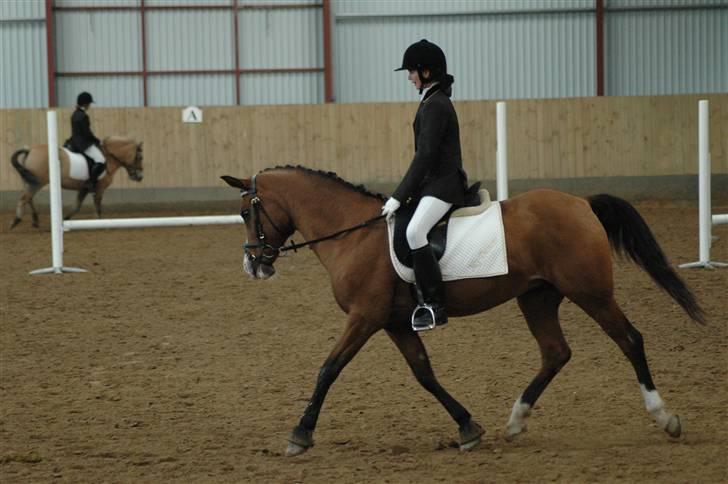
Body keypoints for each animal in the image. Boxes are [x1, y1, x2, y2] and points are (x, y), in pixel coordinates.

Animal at [9, 136, 144, 228]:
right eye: (140, 157)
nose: (140, 177)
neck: (108, 159)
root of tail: (29, 150)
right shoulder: (99, 189)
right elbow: (98, 206)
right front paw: (100, 222)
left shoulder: (84, 189)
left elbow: (76, 207)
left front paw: (65, 219)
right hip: (38, 182)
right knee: (25, 198)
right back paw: (16, 220)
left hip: (30, 181)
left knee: (28, 198)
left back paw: (35, 220)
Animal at [221, 165, 705, 457]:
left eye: (246, 212)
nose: (253, 265)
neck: (352, 234)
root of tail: (581, 203)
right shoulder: (394, 322)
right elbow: (424, 373)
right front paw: (468, 427)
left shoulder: (364, 317)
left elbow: (329, 368)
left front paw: (300, 434)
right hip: (538, 296)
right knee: (555, 352)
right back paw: (515, 421)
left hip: (591, 292)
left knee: (629, 339)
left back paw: (665, 417)